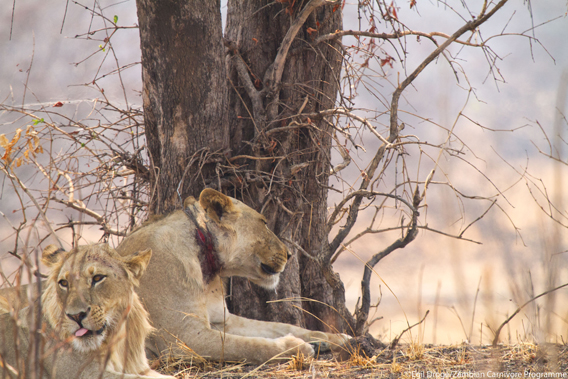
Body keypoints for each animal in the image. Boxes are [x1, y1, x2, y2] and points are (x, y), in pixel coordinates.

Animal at [0, 245, 174, 378]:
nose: (76, 315)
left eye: (97, 278)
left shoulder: (142, 369)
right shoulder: (85, 373)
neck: (116, 337)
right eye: (64, 283)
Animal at [116, 189, 348, 366]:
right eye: (264, 222)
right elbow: (248, 346)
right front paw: (296, 347)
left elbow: (281, 326)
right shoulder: (183, 338)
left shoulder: (223, 319)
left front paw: (334, 338)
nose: (290, 254)